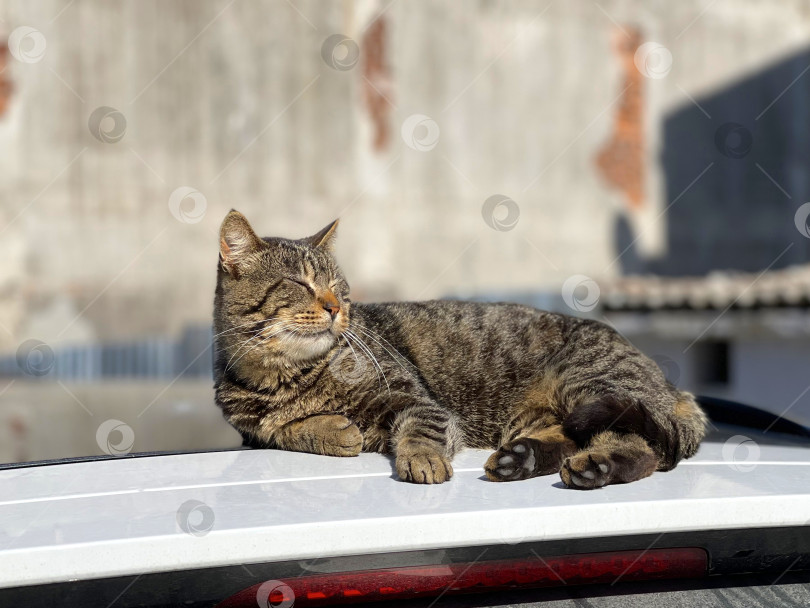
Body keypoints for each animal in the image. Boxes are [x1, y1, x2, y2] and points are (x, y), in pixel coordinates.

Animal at [211, 211, 704, 486]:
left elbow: (420, 430)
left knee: (644, 448)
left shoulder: (415, 399)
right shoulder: (250, 431)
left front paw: (421, 459)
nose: (336, 308)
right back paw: (520, 459)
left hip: (590, 383)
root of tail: (670, 387)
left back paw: (595, 467)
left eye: (340, 289)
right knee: (569, 438)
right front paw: (332, 429)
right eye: (300, 284)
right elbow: (280, 430)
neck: (283, 377)